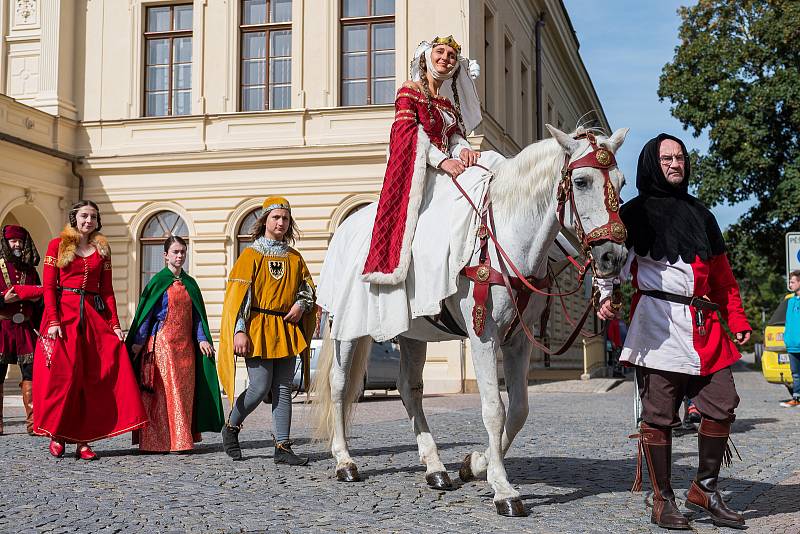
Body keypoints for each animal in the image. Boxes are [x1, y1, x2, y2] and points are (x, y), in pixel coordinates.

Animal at [310, 125, 628, 520]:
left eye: (622, 181)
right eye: (582, 181)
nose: (613, 256)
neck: (507, 236)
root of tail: (344, 230)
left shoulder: (518, 340)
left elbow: (518, 410)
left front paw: (476, 464)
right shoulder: (483, 336)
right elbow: (494, 408)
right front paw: (503, 489)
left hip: (412, 333)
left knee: (409, 388)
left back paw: (435, 468)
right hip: (345, 328)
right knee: (339, 386)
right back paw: (344, 461)